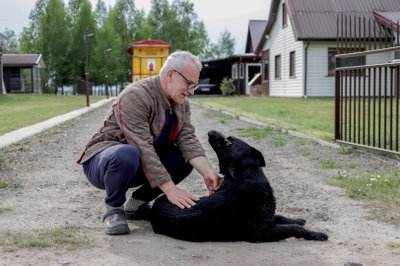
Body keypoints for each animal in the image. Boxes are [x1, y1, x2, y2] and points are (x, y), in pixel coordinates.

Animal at [150, 130, 328, 242]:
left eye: (229, 140)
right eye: (225, 143)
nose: (210, 132)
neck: (245, 175)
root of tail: (154, 207)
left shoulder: (269, 219)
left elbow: (282, 217)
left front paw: (298, 219)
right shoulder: (263, 232)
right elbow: (294, 228)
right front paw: (316, 234)